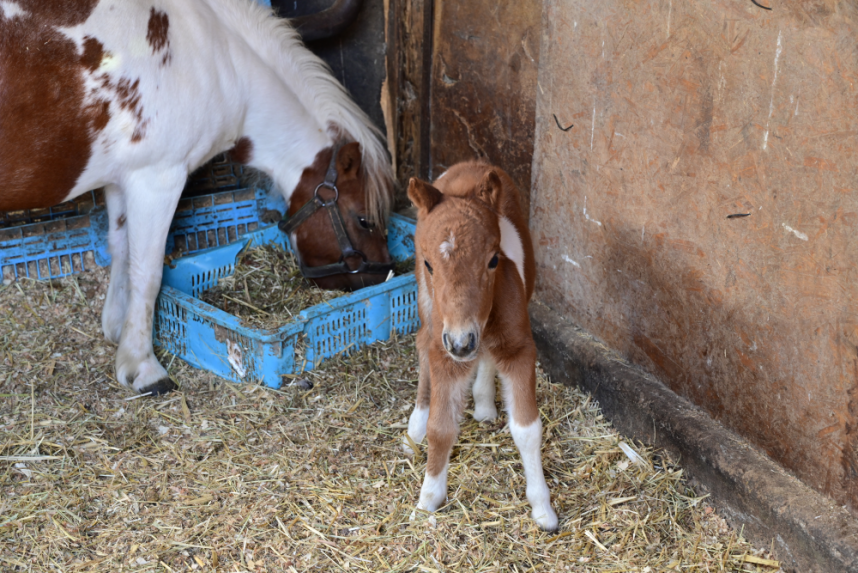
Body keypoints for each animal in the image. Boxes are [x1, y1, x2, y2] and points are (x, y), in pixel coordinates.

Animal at [0, 0, 392, 394]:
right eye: (365, 220)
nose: (382, 276)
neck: (217, 62)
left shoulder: (122, 179)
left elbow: (122, 251)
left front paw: (119, 330)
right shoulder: (158, 179)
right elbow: (147, 274)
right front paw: (143, 368)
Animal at [404, 162, 560, 532]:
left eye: (493, 260)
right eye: (430, 264)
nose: (461, 343)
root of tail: (470, 164)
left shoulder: (519, 349)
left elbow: (527, 428)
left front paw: (543, 509)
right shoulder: (444, 350)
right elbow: (441, 428)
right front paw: (426, 503)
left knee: (486, 355)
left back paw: (485, 404)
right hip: (427, 309)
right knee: (422, 342)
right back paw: (414, 427)